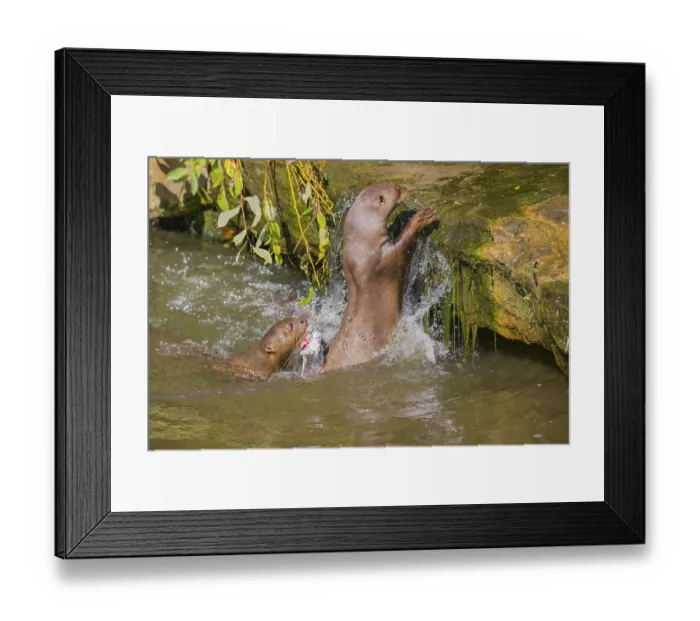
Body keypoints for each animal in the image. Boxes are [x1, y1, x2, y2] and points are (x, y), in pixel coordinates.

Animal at [323, 182, 436, 371]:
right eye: (396, 189)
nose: (405, 188)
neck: (361, 250)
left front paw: (402, 216)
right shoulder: (385, 260)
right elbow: (404, 243)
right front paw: (421, 217)